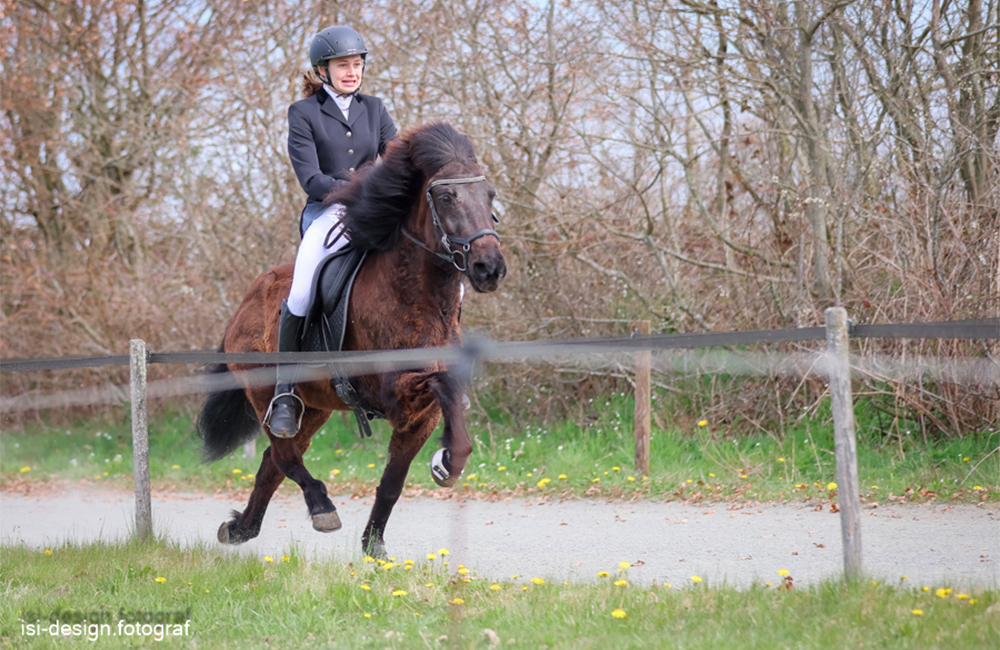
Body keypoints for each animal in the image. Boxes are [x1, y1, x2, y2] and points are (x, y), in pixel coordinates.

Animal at [196, 121, 508, 556]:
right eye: (446, 197)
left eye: (490, 195)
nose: (489, 268)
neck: (420, 297)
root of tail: (248, 300)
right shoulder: (392, 393)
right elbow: (442, 383)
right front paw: (445, 463)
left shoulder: (419, 417)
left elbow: (394, 481)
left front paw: (374, 544)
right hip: (262, 392)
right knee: (284, 453)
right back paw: (321, 507)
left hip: (313, 408)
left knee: (272, 464)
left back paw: (243, 527)